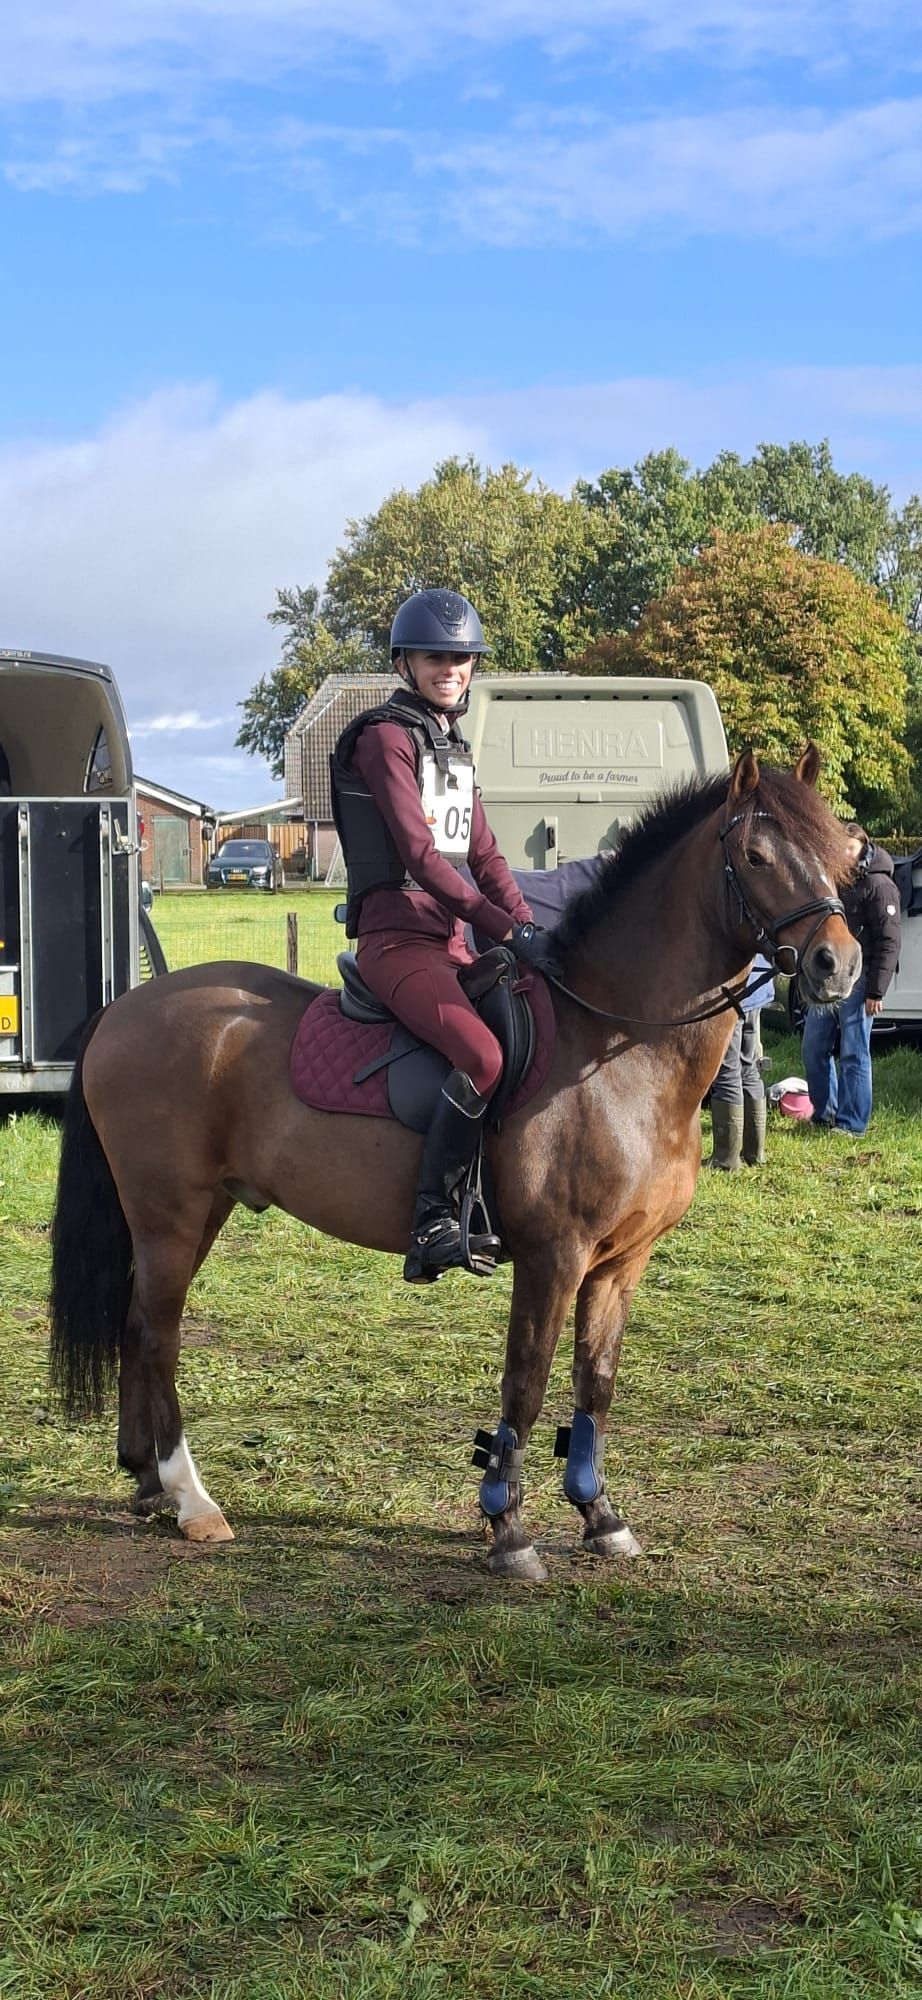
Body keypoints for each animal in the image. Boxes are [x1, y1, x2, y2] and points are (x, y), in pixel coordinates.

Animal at [49, 748, 860, 1583]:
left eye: (844, 853)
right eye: (756, 857)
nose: (838, 966)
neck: (615, 1046)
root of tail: (125, 1007)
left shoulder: (620, 1263)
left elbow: (595, 1385)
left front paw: (599, 1515)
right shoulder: (553, 1257)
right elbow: (526, 1385)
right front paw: (508, 1528)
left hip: (201, 1207)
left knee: (137, 1322)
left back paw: (147, 1483)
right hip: (169, 1212)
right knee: (158, 1333)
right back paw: (193, 1499)